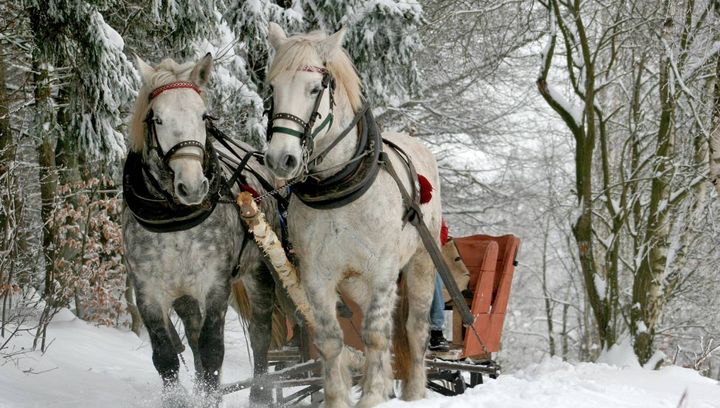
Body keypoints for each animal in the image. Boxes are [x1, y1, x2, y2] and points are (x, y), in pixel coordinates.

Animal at [262, 23, 442, 406]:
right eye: (272, 88)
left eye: (315, 88)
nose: (280, 159)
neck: (338, 189)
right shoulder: (317, 276)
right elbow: (331, 339)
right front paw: (339, 398)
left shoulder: (383, 270)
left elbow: (374, 334)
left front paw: (372, 395)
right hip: (356, 283)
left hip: (421, 261)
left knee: (414, 329)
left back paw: (415, 391)